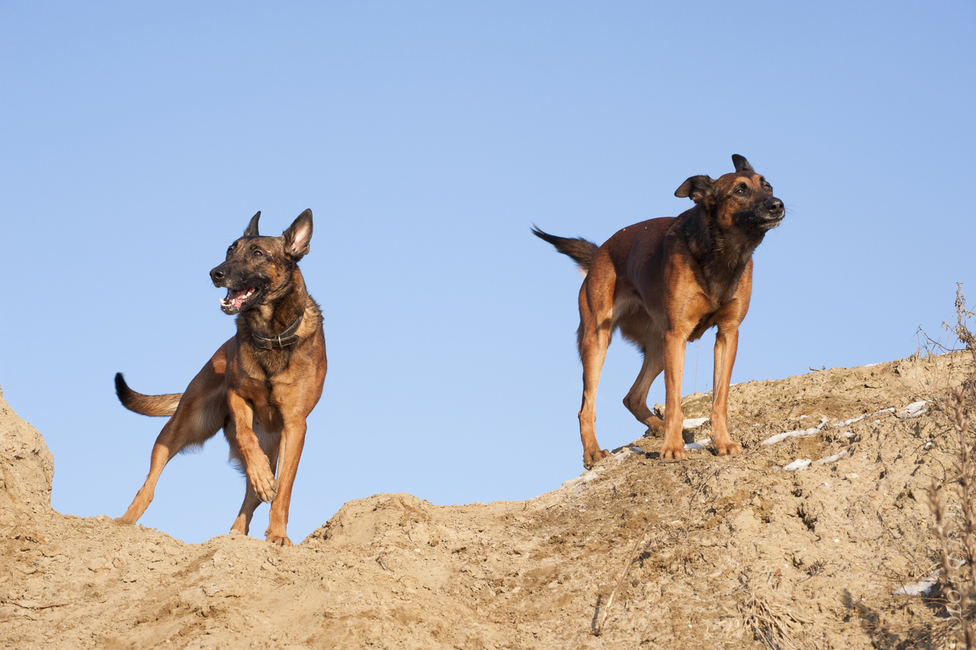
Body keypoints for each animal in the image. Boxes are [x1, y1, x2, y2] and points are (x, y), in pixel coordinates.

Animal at [114, 209, 327, 546]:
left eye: (258, 253)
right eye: (230, 250)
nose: (216, 273)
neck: (270, 334)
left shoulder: (295, 425)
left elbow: (284, 488)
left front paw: (278, 534)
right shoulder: (238, 396)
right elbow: (245, 435)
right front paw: (262, 478)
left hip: (273, 447)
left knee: (253, 496)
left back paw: (237, 533)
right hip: (181, 427)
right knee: (150, 481)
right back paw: (125, 520)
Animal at [534, 155, 783, 468]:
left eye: (768, 185)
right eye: (740, 190)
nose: (777, 204)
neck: (721, 255)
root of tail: (600, 252)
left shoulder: (727, 334)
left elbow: (719, 399)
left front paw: (722, 443)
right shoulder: (677, 335)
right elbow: (674, 401)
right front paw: (672, 449)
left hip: (659, 346)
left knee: (632, 397)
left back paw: (658, 427)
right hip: (599, 342)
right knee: (586, 407)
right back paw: (594, 451)